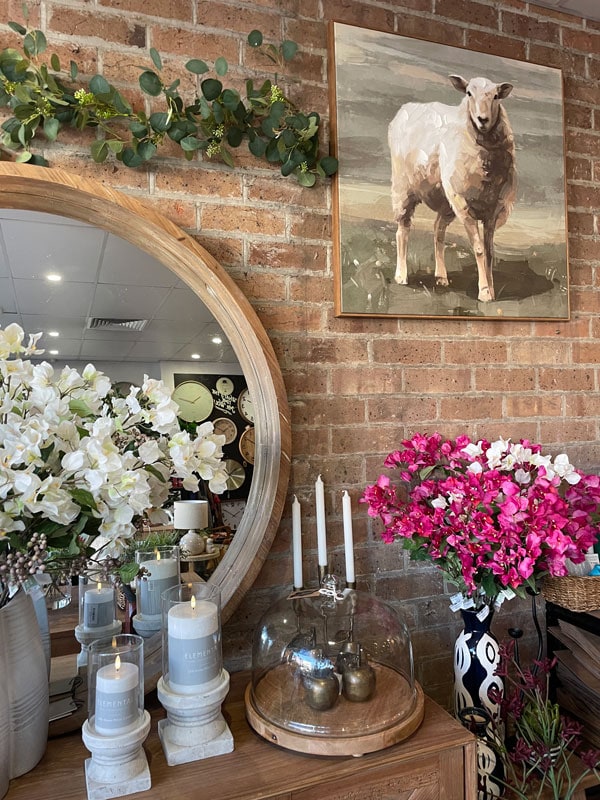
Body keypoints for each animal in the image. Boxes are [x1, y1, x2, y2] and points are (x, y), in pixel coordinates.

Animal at [390, 76, 516, 304]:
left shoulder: (492, 209)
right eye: (468, 93)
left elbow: (489, 251)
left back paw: (441, 277)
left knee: (438, 230)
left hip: (446, 201)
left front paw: (492, 289)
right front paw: (484, 292)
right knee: (402, 230)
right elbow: (479, 250)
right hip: (404, 188)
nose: (483, 119)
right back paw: (401, 275)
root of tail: (408, 107)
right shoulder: (464, 206)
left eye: (495, 96)